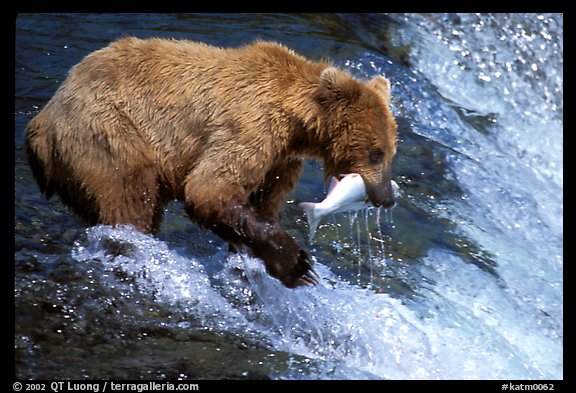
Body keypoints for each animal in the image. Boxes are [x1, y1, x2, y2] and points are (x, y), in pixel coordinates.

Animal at [24, 36, 398, 288]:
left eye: (390, 152)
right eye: (376, 152)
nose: (387, 197)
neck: (298, 124)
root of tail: (41, 121)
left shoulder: (279, 161)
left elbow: (259, 202)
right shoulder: (251, 127)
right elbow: (209, 188)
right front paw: (298, 265)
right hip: (108, 132)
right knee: (130, 196)